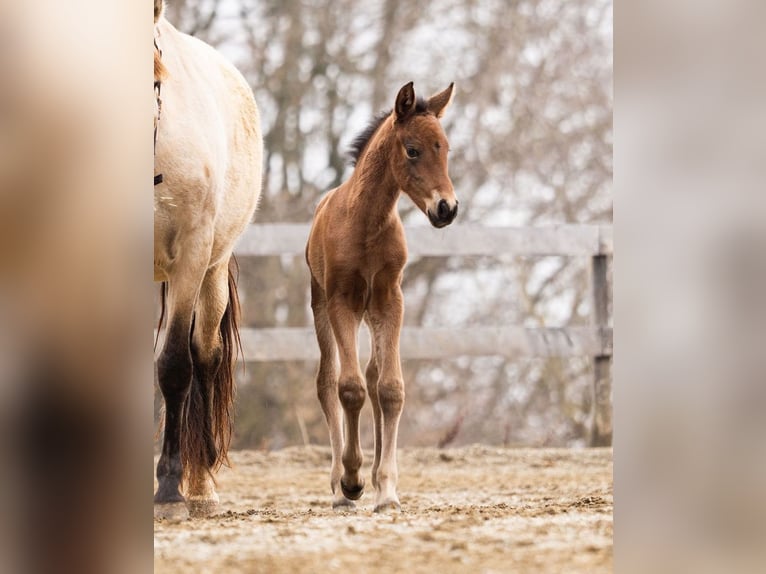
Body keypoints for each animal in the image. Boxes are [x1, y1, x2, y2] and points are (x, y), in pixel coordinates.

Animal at [306, 82, 457, 512]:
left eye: (445, 148)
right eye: (412, 149)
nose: (447, 208)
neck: (366, 223)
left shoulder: (390, 299)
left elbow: (389, 388)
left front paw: (386, 489)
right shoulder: (341, 301)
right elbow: (349, 387)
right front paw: (351, 480)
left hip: (370, 312)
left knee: (373, 376)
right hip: (321, 305)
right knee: (328, 381)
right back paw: (339, 487)